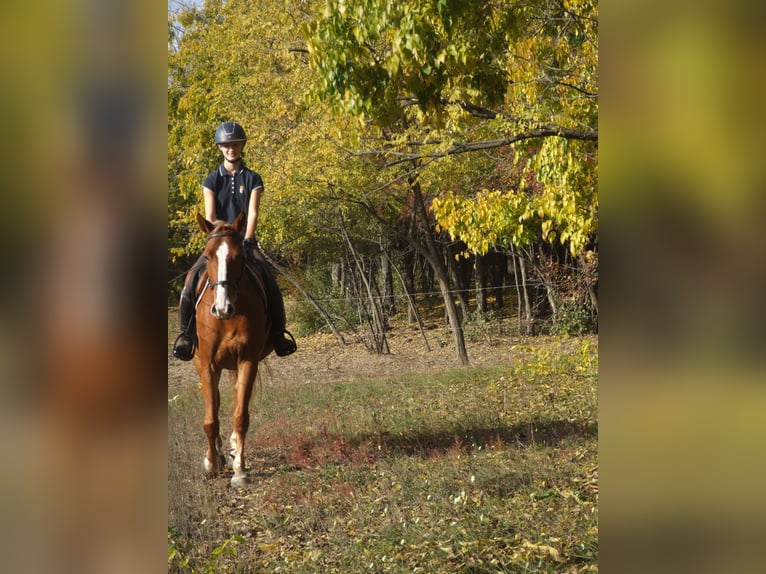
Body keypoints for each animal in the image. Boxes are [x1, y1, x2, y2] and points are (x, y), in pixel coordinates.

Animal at [194, 212, 274, 486]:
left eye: (239, 256)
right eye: (207, 255)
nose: (221, 308)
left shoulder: (248, 361)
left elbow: (241, 416)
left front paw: (239, 469)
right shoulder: (208, 364)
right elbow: (210, 419)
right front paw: (210, 463)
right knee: (215, 403)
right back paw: (217, 453)